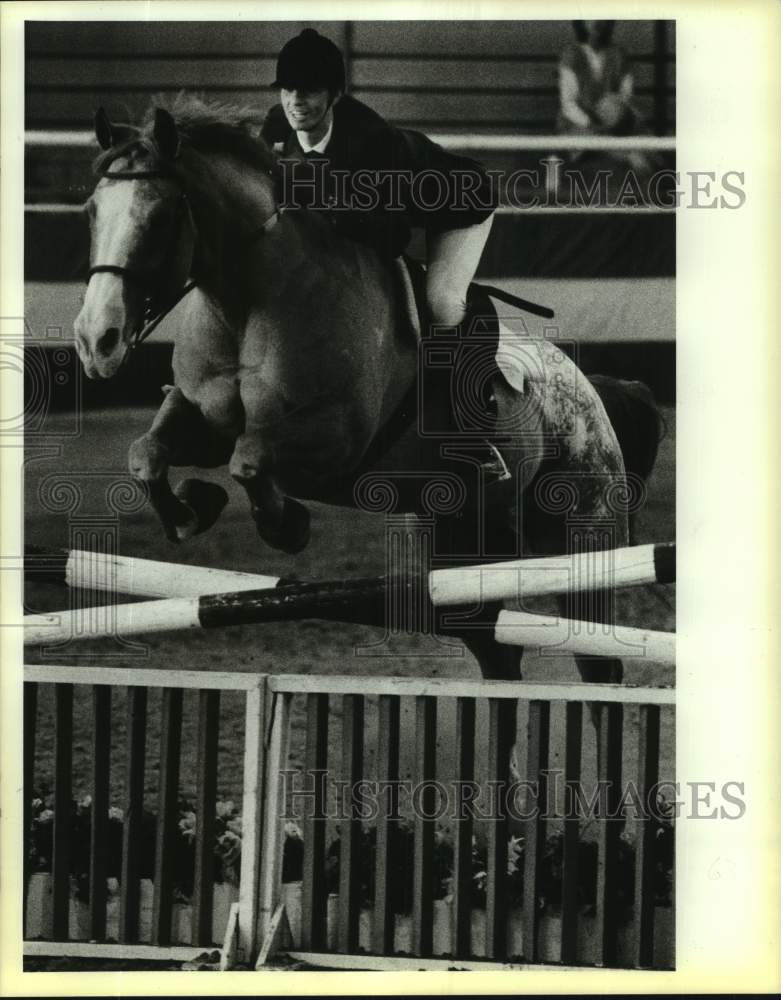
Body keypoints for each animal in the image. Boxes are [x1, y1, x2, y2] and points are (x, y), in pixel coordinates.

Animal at [73, 94, 660, 728]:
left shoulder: (334, 444)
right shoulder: (199, 417)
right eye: (90, 212)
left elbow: (250, 459)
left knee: (598, 666)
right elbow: (147, 454)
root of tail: (595, 394)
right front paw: (191, 509)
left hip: (584, 537)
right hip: (467, 545)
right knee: (498, 654)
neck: (248, 303)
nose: (96, 341)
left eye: (159, 218)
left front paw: (286, 525)